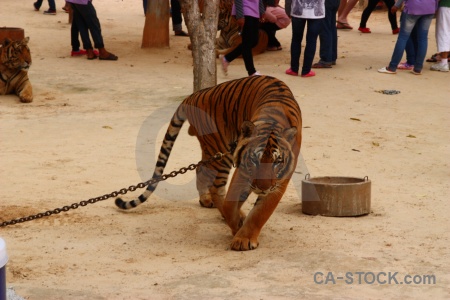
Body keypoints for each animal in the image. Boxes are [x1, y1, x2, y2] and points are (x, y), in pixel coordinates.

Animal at [115, 75, 302, 251]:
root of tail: (192, 96)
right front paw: (237, 229)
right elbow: (230, 204)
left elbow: (260, 212)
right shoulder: (242, 171)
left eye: (277, 162)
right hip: (219, 150)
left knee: (200, 169)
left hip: (213, 151)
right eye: (254, 160)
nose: (262, 188)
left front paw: (244, 237)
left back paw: (207, 200)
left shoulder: (279, 181)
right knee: (215, 186)